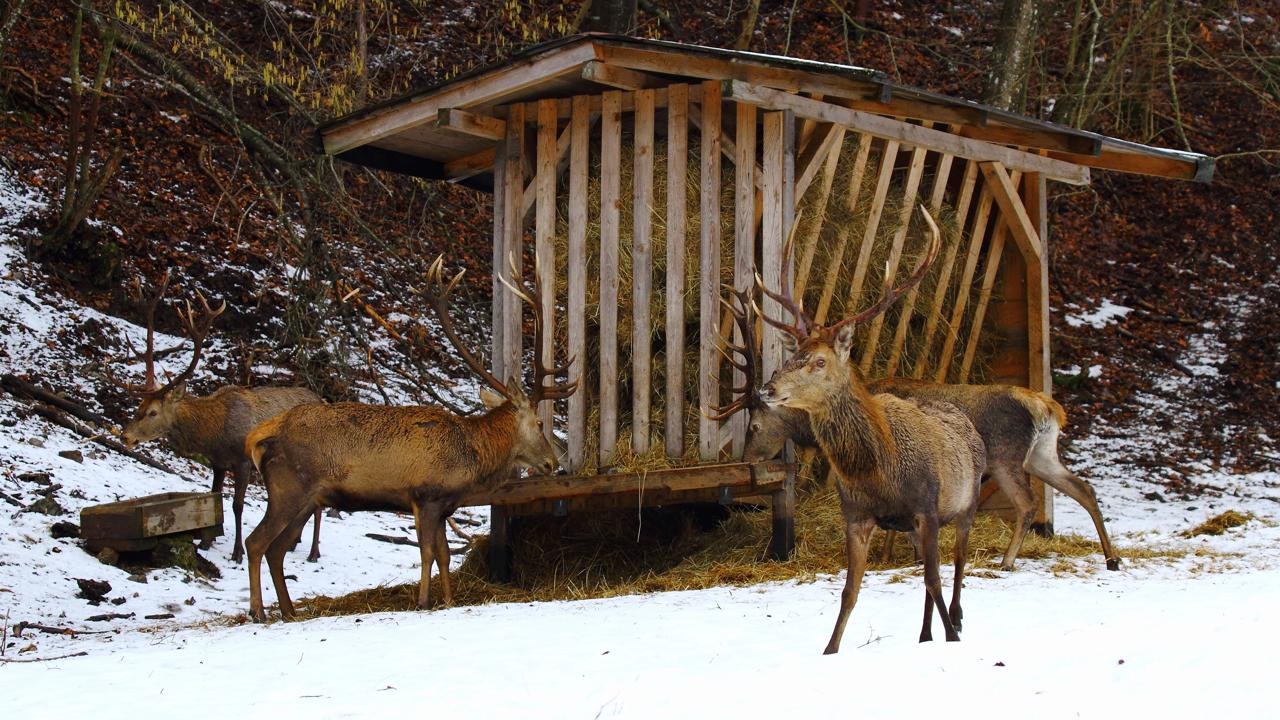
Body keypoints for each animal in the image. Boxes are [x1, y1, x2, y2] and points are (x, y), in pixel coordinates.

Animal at [117, 271, 322, 563]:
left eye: (154, 411)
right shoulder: (217, 462)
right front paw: (207, 539)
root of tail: (322, 400)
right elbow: (214, 495)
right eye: (139, 406)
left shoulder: (243, 462)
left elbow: (237, 505)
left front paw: (237, 552)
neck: (215, 433)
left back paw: (314, 552)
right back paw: (293, 543)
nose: (125, 435)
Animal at [241, 254, 573, 620]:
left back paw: (289, 611)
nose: (551, 462)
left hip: (308, 499)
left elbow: (444, 554)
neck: (472, 456)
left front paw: (448, 600)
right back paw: (258, 611)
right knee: (256, 543)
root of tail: (260, 435)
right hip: (289, 488)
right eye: (540, 424)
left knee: (276, 550)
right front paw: (424, 602)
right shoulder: (426, 494)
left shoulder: (443, 506)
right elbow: (427, 552)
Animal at [752, 206, 983, 650]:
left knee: (958, 565)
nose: (767, 388)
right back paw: (924, 635)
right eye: (794, 356)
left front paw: (953, 639)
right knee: (930, 581)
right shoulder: (857, 515)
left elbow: (934, 578)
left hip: (967, 503)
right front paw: (830, 649)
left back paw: (957, 620)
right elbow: (850, 592)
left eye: (820, 361)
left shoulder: (927, 507)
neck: (879, 472)